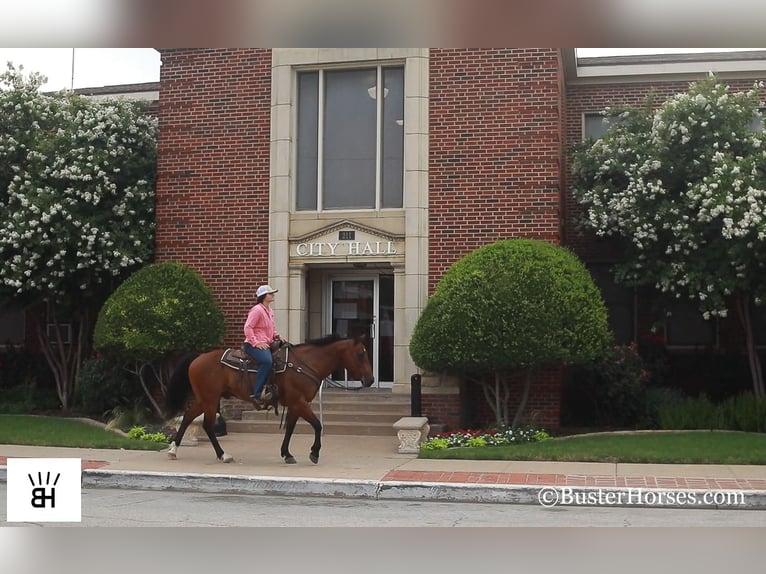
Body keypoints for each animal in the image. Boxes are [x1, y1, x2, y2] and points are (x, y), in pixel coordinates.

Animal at [164, 336, 376, 466]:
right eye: (361, 354)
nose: (371, 380)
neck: (304, 365)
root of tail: (198, 357)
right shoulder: (299, 402)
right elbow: (317, 425)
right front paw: (314, 453)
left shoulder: (295, 405)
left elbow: (290, 428)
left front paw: (287, 454)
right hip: (209, 398)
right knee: (207, 424)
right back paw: (223, 455)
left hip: (204, 398)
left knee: (188, 417)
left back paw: (174, 450)